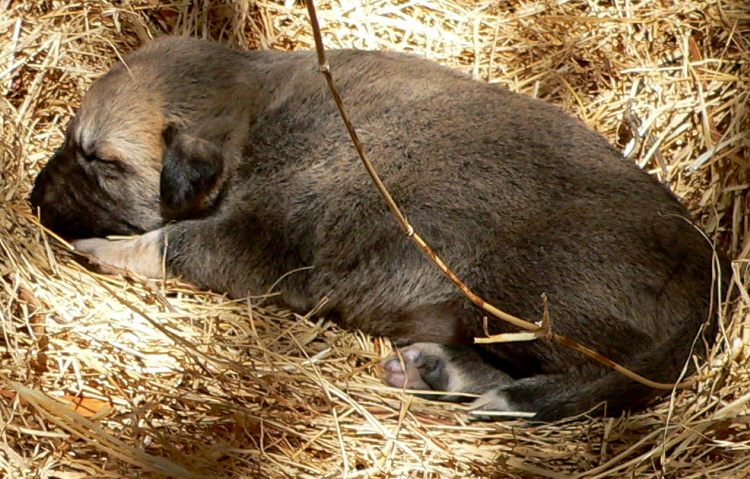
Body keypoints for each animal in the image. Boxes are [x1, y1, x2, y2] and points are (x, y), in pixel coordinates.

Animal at [30, 35, 728, 422]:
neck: (254, 121)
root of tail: (709, 293)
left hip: (517, 290)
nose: (34, 198)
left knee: (585, 380)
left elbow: (170, 242)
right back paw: (432, 371)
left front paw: (98, 247)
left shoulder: (263, 246)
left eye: (101, 161)